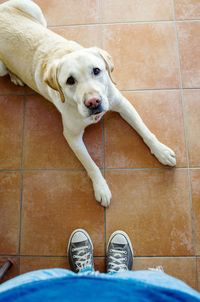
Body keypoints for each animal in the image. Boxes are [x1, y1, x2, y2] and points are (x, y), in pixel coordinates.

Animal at [0, 0, 175, 206]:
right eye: (70, 81)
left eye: (97, 70)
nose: (93, 102)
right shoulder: (72, 136)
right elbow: (91, 165)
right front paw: (101, 187)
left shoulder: (122, 104)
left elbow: (146, 131)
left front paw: (161, 151)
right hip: (1, 67)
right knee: (6, 70)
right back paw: (15, 77)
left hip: (32, 8)